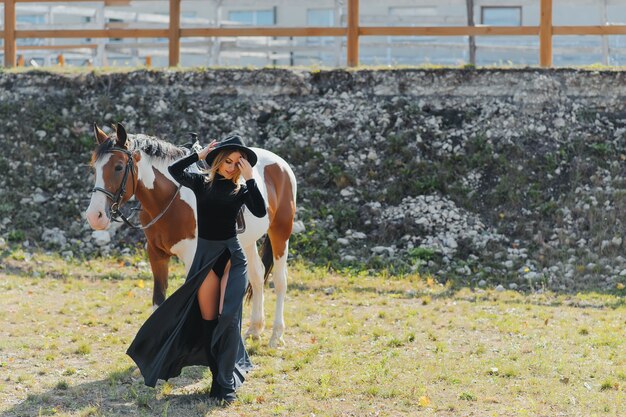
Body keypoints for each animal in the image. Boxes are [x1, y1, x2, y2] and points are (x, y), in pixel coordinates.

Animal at [84, 123, 294, 348]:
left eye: (118, 167)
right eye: (94, 168)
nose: (95, 216)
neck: (170, 198)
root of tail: (280, 164)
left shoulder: (193, 256)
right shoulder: (156, 254)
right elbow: (159, 300)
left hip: (281, 233)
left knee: (280, 280)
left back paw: (276, 336)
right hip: (248, 242)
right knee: (257, 275)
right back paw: (254, 329)